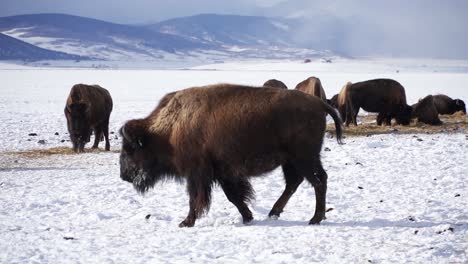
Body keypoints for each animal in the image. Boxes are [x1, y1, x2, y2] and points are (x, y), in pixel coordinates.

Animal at [119, 84, 342, 227]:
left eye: (131, 149)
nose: (124, 175)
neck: (170, 127)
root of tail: (319, 104)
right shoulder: (222, 173)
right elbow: (234, 196)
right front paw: (248, 217)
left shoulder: (197, 174)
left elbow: (195, 199)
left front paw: (186, 222)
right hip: (293, 161)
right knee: (297, 182)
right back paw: (275, 213)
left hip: (303, 158)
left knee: (317, 181)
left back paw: (314, 218)